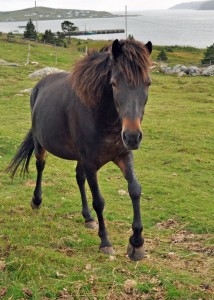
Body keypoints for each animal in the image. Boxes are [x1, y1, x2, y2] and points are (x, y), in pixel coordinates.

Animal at [6, 39, 152, 260]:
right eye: (114, 83)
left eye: (148, 83)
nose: (132, 136)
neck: (103, 117)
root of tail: (39, 85)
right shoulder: (91, 163)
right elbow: (99, 201)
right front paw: (105, 242)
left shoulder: (123, 155)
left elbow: (135, 189)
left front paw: (136, 243)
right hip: (41, 145)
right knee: (41, 167)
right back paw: (37, 201)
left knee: (79, 178)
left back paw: (88, 218)